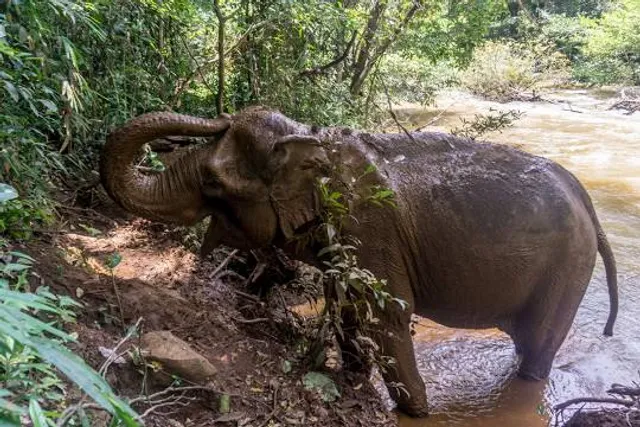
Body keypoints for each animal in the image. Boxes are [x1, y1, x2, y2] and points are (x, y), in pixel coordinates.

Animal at [100, 106, 618, 417]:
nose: (221, 115)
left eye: (211, 183)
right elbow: (347, 311)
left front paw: (418, 413)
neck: (312, 140)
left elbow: (385, 317)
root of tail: (588, 203)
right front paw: (350, 379)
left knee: (538, 349)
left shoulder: (370, 229)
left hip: (567, 269)